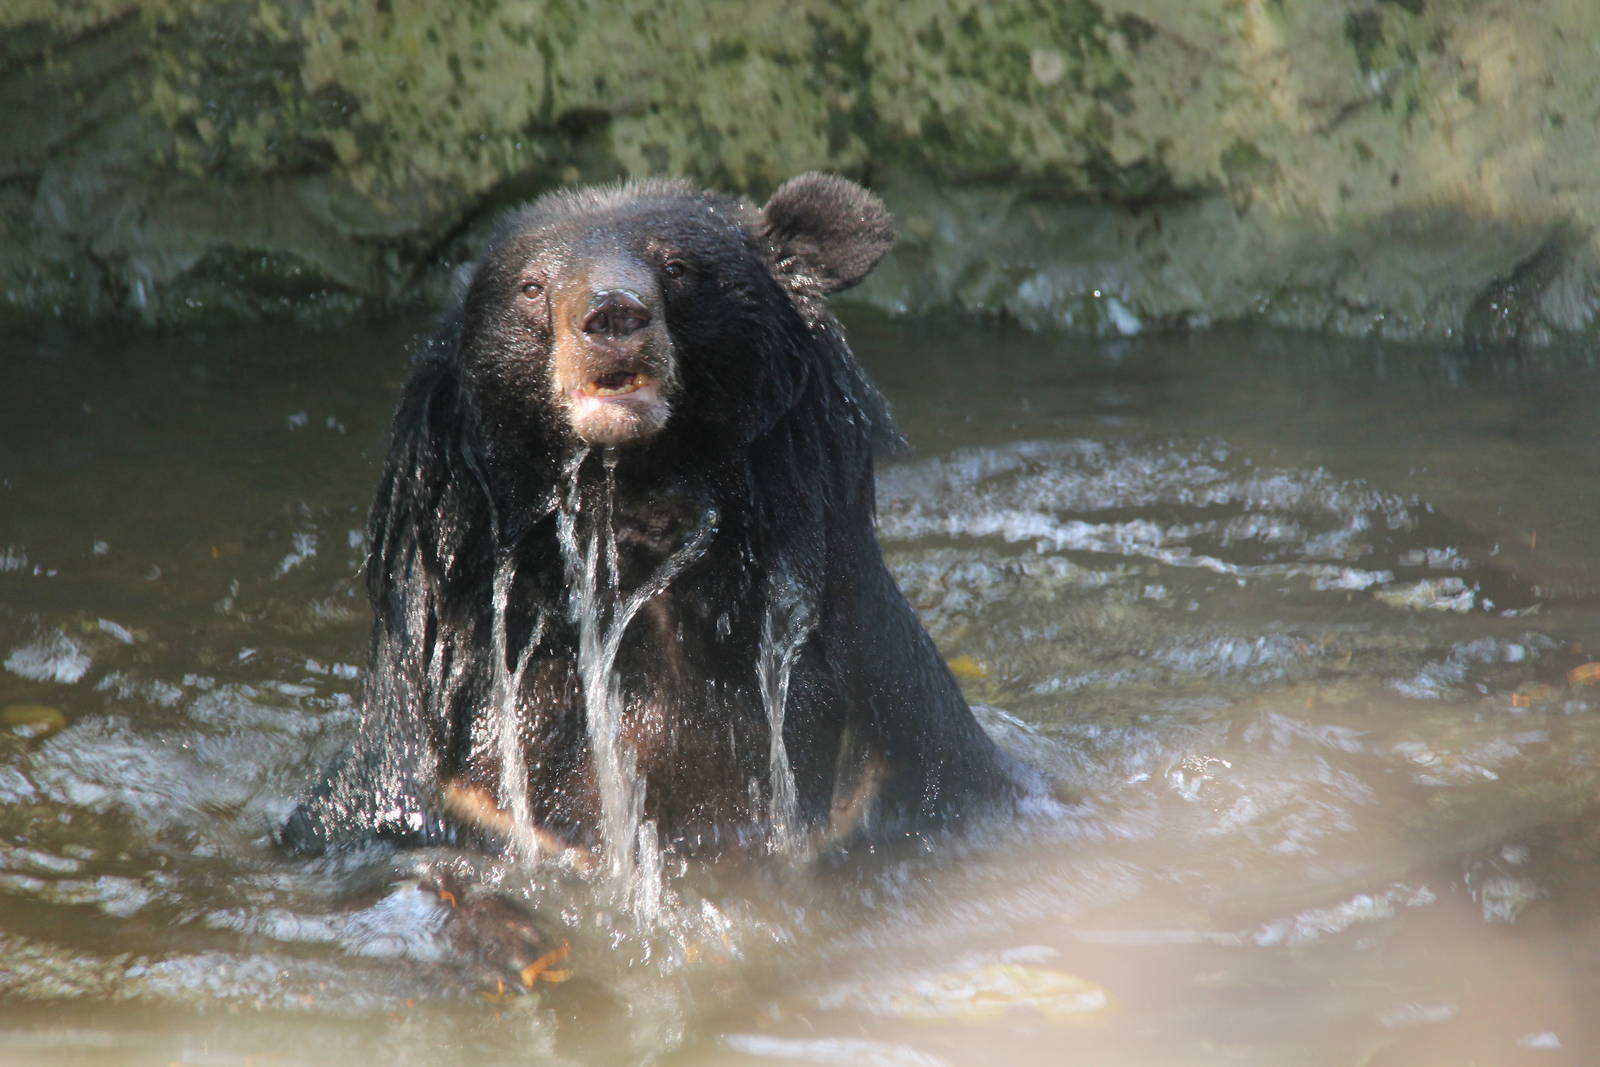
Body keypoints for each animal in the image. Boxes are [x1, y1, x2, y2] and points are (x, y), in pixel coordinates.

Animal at [280, 173, 1011, 897]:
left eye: (678, 267)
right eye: (532, 286)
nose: (611, 314)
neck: (638, 514)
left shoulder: (887, 737)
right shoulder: (435, 776)